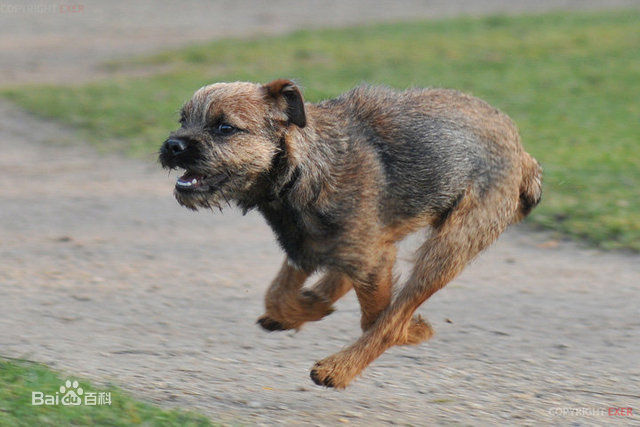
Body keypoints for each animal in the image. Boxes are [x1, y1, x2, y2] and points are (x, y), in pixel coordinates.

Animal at [159, 78, 540, 390]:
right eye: (183, 119)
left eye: (224, 127)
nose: (173, 145)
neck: (307, 166)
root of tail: (522, 153)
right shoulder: (304, 245)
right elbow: (277, 293)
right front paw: (308, 307)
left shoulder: (369, 256)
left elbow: (379, 317)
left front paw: (408, 331)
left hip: (447, 249)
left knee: (391, 312)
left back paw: (341, 366)